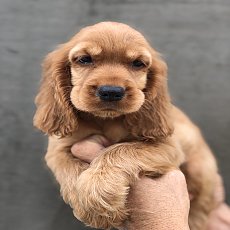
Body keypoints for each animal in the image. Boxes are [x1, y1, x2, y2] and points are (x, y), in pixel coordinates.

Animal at [33, 22, 217, 230]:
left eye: (137, 63)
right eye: (84, 59)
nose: (111, 91)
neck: (106, 120)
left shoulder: (167, 146)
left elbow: (121, 150)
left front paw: (99, 195)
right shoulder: (59, 148)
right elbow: (68, 168)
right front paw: (92, 207)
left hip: (200, 170)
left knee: (201, 206)